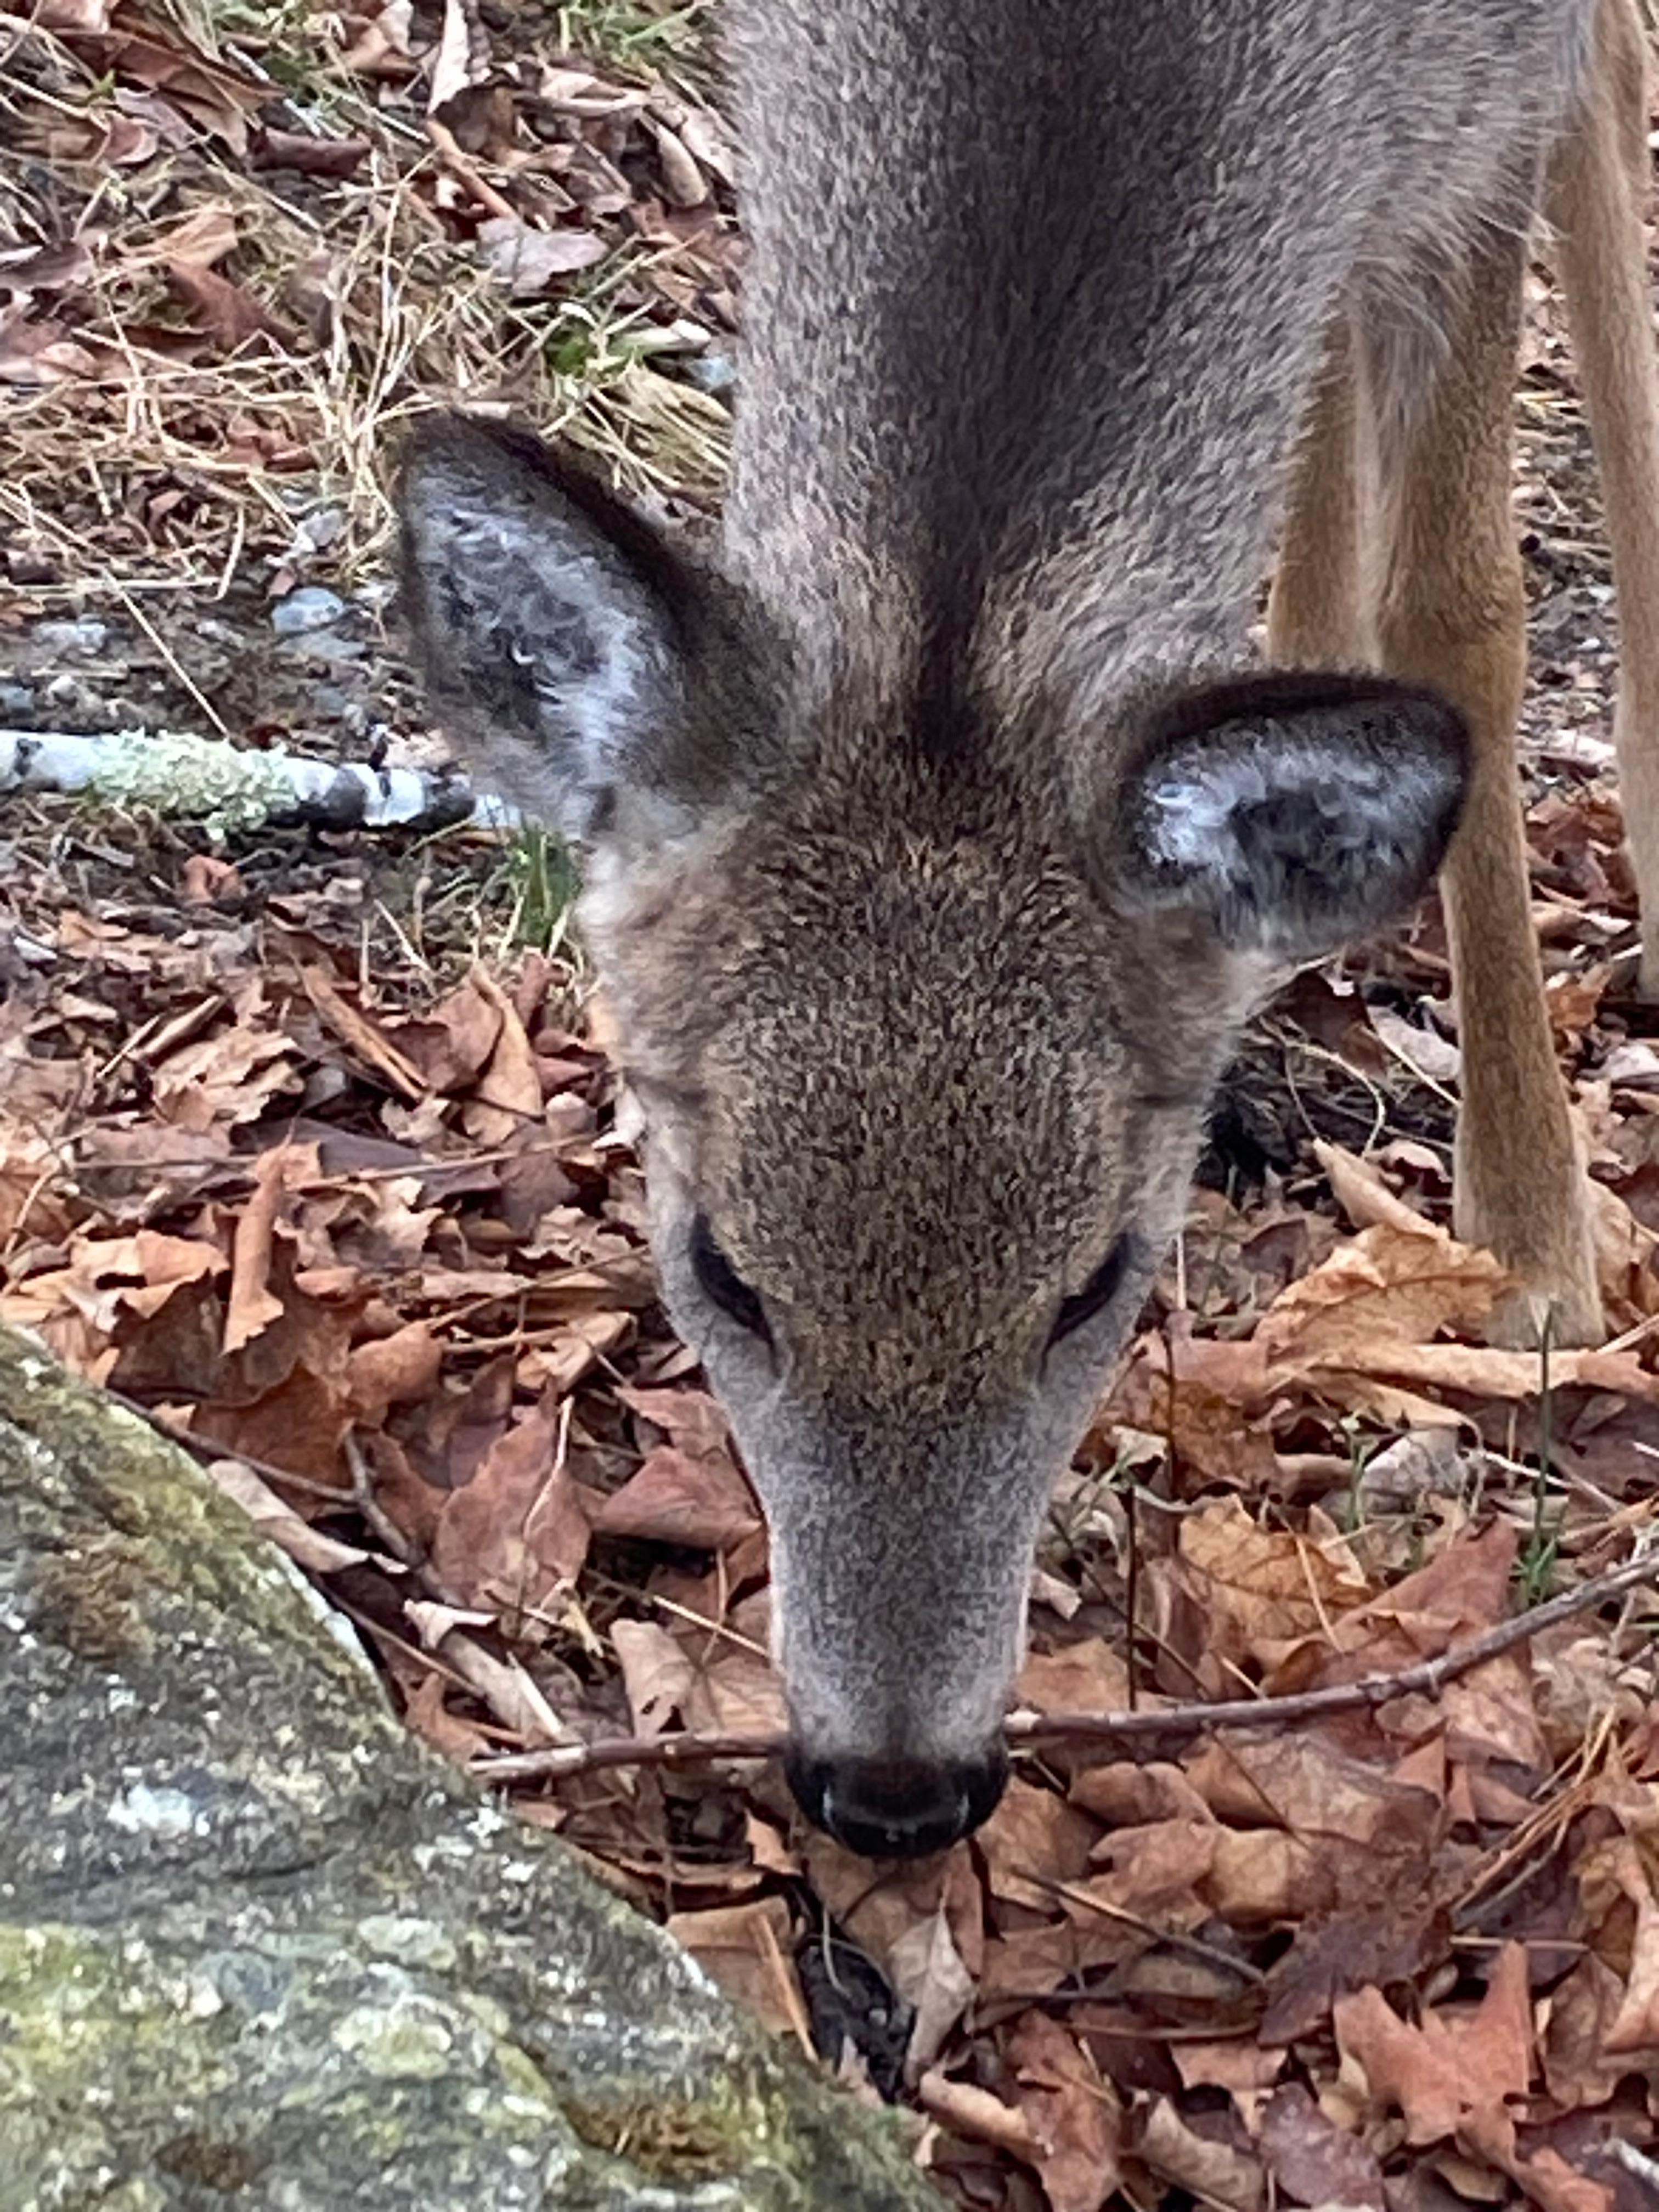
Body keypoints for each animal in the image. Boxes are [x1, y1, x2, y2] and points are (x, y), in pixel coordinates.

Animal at [399, 0, 1659, 1859]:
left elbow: (1468, 613)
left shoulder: (1492, 108)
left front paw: (1535, 1250)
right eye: (722, 1270)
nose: (894, 1789)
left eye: (1099, 1286)